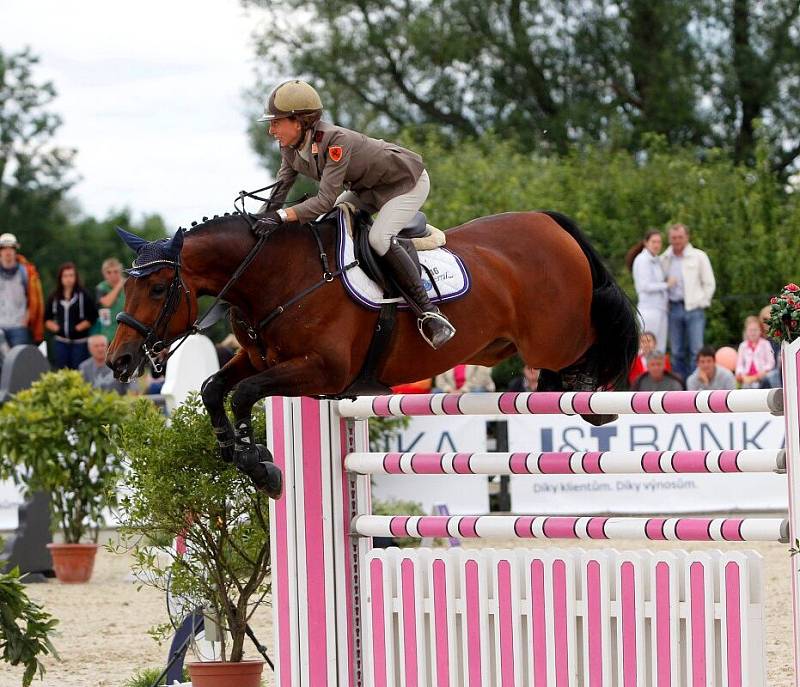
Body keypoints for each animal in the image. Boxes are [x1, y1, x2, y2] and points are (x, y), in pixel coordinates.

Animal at [109, 212, 640, 498]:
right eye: (130, 287)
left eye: (157, 288)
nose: (119, 360)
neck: (277, 277)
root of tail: (547, 222)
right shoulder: (262, 360)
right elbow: (214, 387)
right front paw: (233, 452)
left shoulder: (322, 371)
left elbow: (242, 394)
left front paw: (261, 466)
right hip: (506, 344)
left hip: (556, 334)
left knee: (600, 333)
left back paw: (594, 400)